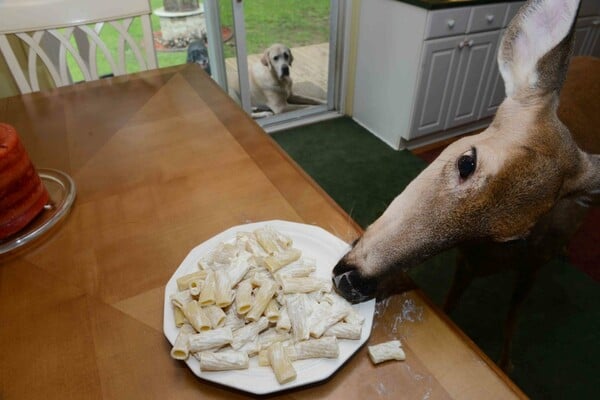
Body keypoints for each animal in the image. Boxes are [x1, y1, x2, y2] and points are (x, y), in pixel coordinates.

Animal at [332, 0, 600, 372]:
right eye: (467, 161)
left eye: (514, 235)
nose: (353, 282)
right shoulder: (467, 263)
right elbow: (450, 304)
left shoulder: (530, 267)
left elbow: (512, 317)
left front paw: (505, 363)